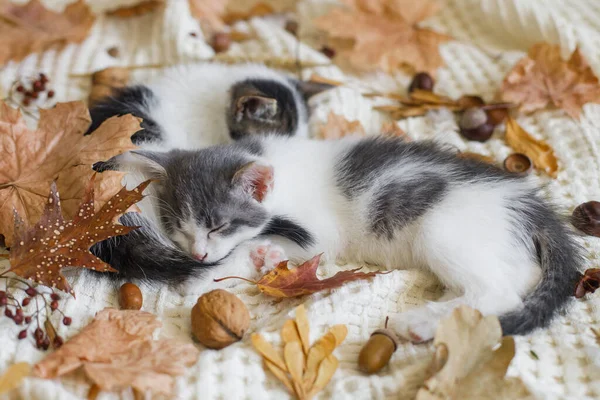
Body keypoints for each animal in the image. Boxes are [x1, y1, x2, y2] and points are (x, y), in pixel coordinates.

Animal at [125, 135, 580, 340]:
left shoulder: (319, 232)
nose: (199, 255)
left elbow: (259, 243)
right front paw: (255, 259)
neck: (273, 161)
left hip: (444, 230)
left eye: (218, 227)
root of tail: (529, 203)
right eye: (179, 228)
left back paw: (418, 322)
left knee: (500, 293)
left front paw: (204, 277)